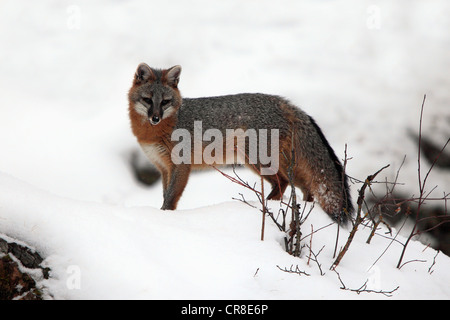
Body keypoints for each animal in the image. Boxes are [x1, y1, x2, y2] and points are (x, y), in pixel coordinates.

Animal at [128, 62, 354, 222]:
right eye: (148, 100)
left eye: (165, 102)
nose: (155, 118)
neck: (155, 132)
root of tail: (282, 101)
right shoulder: (163, 167)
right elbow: (165, 194)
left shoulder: (181, 166)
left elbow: (170, 198)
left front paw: (164, 217)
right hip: (279, 164)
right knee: (305, 188)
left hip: (257, 161)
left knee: (283, 183)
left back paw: (267, 207)